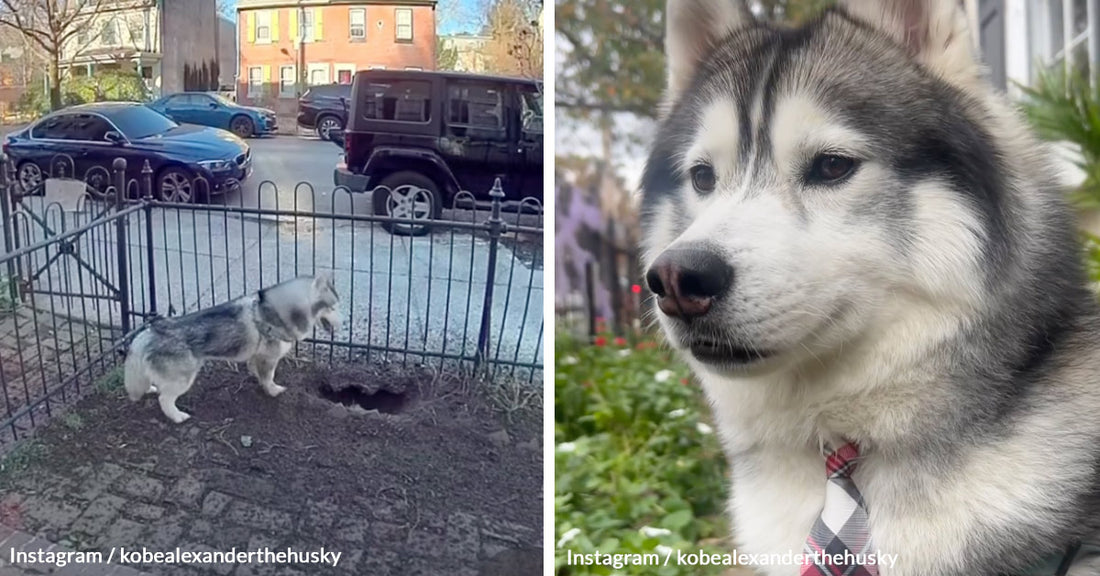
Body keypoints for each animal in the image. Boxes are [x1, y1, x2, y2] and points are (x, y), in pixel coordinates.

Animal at [124, 274, 338, 422]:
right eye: (333, 307)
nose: (343, 322)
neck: (275, 311)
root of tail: (148, 332)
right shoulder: (269, 358)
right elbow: (269, 377)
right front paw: (272, 390)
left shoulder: (257, 356)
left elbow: (256, 371)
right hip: (182, 378)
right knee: (165, 399)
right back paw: (177, 416)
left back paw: (151, 389)